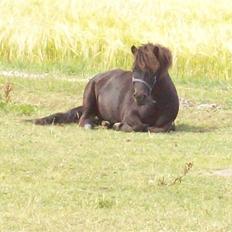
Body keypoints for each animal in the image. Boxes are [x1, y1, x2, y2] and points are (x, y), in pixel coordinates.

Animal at [30, 42, 179, 132]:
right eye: (134, 68)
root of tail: (98, 77)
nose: (139, 96)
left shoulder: (167, 123)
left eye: (153, 71)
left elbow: (160, 128)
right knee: (84, 119)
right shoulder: (129, 115)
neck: (156, 104)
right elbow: (139, 125)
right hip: (89, 99)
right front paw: (119, 125)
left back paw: (105, 123)